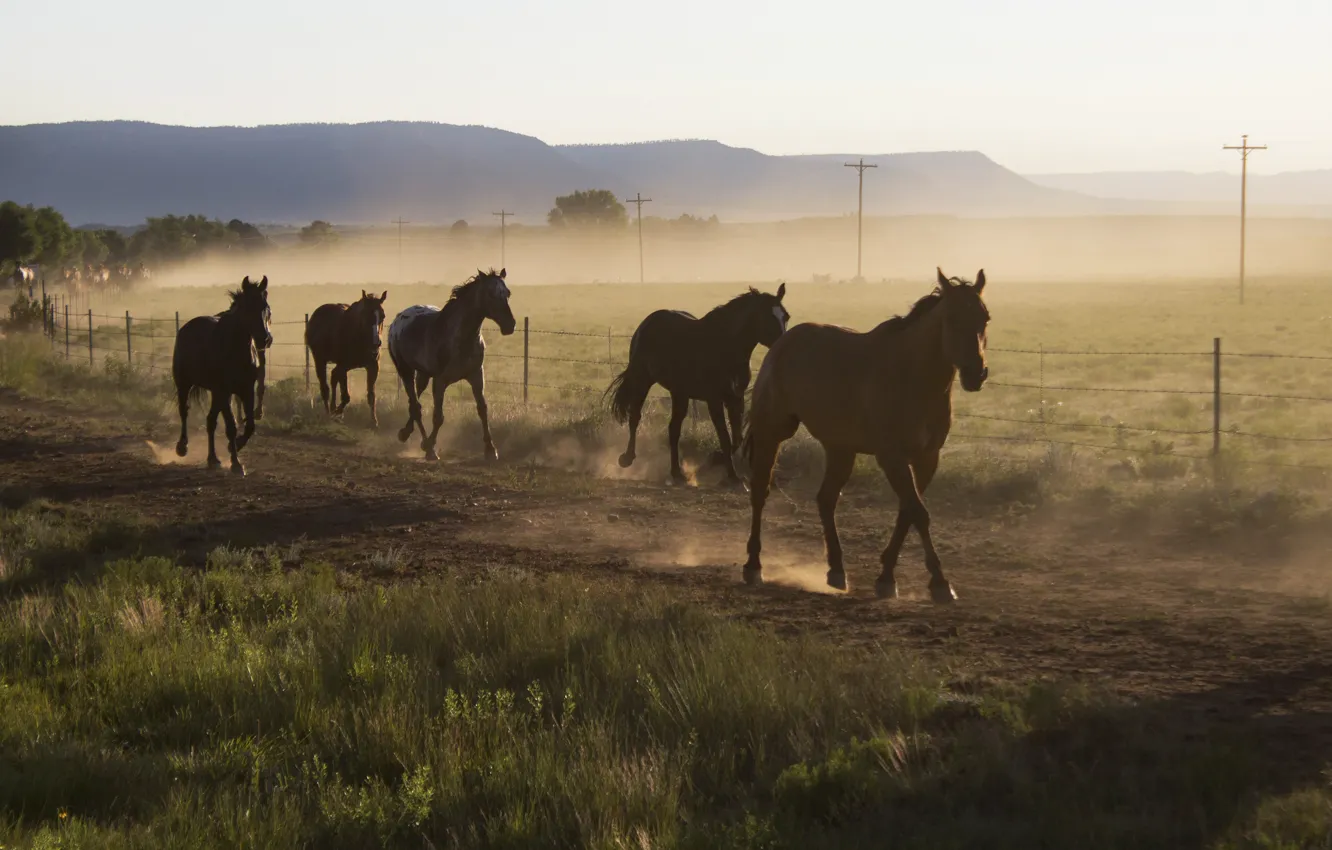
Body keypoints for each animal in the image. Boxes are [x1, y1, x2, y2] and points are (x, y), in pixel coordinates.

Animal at [173, 276, 273, 475]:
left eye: (266, 307)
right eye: (247, 307)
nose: (264, 339)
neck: (234, 348)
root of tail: (186, 327)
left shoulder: (245, 390)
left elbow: (250, 425)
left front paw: (236, 446)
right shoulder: (224, 390)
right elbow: (231, 426)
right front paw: (236, 464)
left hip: (216, 393)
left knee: (210, 421)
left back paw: (213, 459)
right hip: (184, 384)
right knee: (184, 411)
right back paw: (182, 447)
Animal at [306, 290, 389, 427]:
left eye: (383, 316)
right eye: (366, 315)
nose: (376, 343)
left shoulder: (373, 366)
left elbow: (371, 395)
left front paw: (374, 422)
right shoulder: (343, 366)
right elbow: (345, 396)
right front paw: (336, 413)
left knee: (333, 376)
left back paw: (334, 409)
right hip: (320, 360)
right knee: (325, 388)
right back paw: (329, 413)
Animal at [388, 268, 515, 461]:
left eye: (507, 293)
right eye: (490, 294)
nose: (510, 325)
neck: (461, 337)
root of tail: (397, 319)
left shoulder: (476, 375)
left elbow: (482, 410)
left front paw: (490, 450)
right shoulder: (440, 380)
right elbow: (438, 417)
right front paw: (431, 448)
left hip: (423, 374)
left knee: (416, 399)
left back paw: (407, 433)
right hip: (405, 370)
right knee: (416, 406)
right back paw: (422, 443)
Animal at [606, 284, 789, 483]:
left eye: (785, 316)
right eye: (767, 316)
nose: (783, 345)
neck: (726, 346)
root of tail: (646, 323)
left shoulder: (735, 397)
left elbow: (736, 438)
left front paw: (714, 459)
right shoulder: (714, 399)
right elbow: (724, 436)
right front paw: (732, 475)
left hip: (679, 393)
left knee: (673, 429)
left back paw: (676, 472)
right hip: (642, 380)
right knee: (635, 417)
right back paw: (626, 458)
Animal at [740, 268, 991, 603]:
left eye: (985, 318)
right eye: (951, 318)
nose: (976, 374)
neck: (912, 377)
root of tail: (782, 342)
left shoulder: (926, 459)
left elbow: (907, 512)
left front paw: (886, 577)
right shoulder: (892, 458)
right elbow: (918, 512)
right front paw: (939, 583)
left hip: (840, 448)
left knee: (826, 499)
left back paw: (836, 570)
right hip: (773, 432)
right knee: (760, 491)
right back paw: (754, 565)